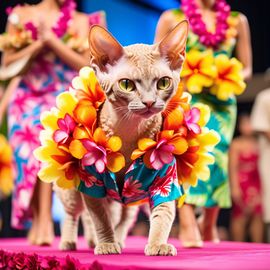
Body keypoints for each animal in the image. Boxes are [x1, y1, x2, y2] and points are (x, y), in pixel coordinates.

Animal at [57, 19, 188, 255]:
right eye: (126, 84)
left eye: (163, 83)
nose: (149, 102)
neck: (128, 134)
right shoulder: (91, 184)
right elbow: (100, 218)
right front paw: (106, 244)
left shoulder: (165, 180)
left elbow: (163, 214)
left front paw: (157, 244)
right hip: (72, 190)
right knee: (74, 213)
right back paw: (71, 241)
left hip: (130, 196)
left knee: (123, 218)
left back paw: (114, 239)